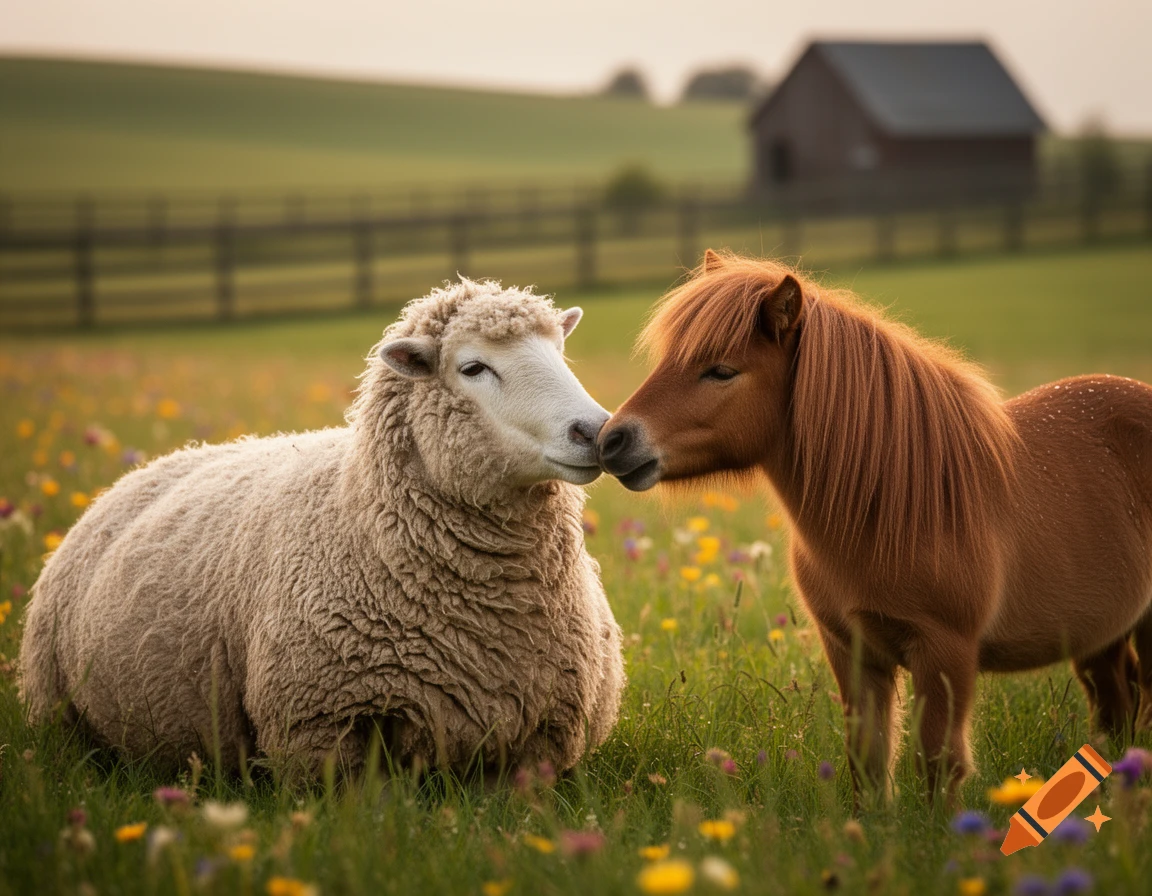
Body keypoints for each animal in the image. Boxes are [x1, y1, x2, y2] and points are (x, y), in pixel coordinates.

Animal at [19, 278, 625, 778]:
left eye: (559, 351)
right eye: (473, 368)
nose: (595, 431)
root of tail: (138, 472)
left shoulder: (543, 736)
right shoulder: (321, 726)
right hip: (56, 707)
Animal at [598, 249, 1152, 799]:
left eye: (721, 371)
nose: (612, 440)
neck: (899, 504)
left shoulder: (945, 653)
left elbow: (939, 761)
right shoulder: (851, 648)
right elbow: (868, 758)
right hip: (1101, 638)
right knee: (1117, 706)